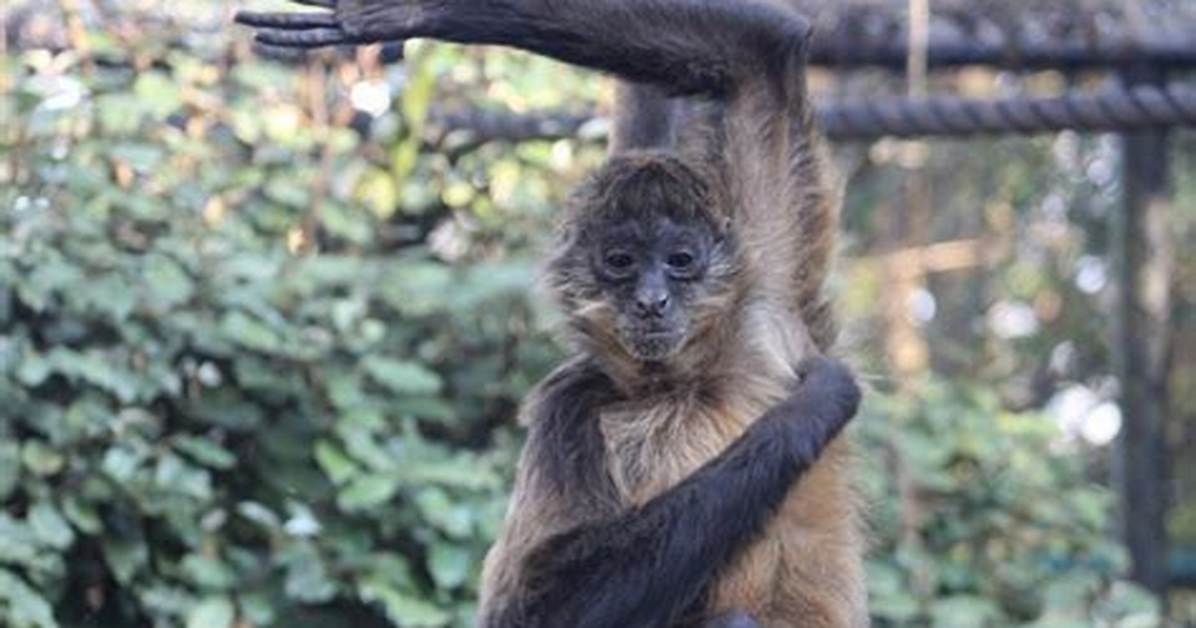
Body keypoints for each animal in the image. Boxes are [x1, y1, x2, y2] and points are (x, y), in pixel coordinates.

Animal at [235, 1, 865, 626]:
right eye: (621, 262)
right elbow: (527, 608)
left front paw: (403, 15)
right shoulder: (570, 404)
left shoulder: (763, 299)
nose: (651, 299)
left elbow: (759, 52)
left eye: (680, 261)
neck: (678, 382)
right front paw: (809, 410)